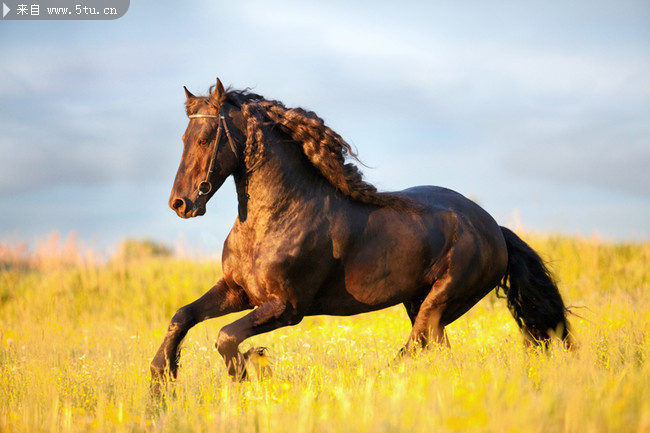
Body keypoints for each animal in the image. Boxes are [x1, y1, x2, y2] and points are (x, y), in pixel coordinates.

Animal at [148, 79, 572, 390]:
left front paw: (251, 371)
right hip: (420, 303)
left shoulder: (286, 307)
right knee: (435, 350)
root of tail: (494, 228)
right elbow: (182, 316)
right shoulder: (238, 291)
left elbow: (225, 337)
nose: (180, 203)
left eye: (205, 138)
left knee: (415, 346)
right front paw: (161, 380)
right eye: (184, 139)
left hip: (441, 301)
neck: (274, 219)